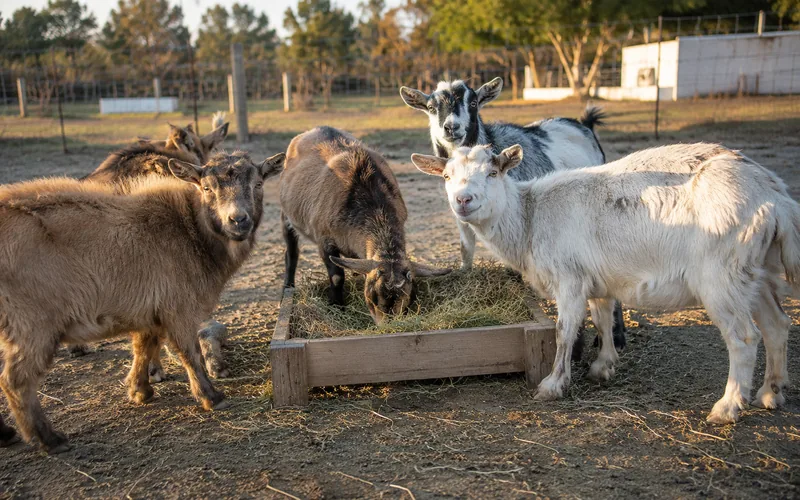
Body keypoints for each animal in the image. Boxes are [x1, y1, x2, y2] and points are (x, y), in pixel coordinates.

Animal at [0, 150, 285, 453]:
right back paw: (49, 439)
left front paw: (140, 391)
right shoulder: (178, 306)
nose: (238, 220)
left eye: (258, 184)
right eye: (207, 188)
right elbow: (189, 352)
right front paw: (212, 397)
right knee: (15, 380)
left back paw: (7, 433)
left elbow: (144, 346)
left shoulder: (149, 309)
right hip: (32, 322)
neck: (189, 228)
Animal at [280, 126, 449, 324]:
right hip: (286, 215)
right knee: (291, 250)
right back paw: (288, 286)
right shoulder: (324, 238)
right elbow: (337, 276)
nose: (386, 326)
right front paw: (337, 306)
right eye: (372, 298)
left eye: (410, 298)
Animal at [400, 78, 626, 355]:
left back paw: (617, 336)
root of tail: (583, 124)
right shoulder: (464, 220)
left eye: (473, 103)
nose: (451, 127)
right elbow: (466, 251)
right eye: (431, 107)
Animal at [412, 142, 799, 424]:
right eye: (446, 175)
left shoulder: (569, 278)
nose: (463, 200)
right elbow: (602, 318)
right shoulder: (596, 279)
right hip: (757, 270)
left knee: (744, 337)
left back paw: (728, 407)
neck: (530, 218)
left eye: (492, 172)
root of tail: (774, 196)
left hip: (722, 274)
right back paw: (771, 393)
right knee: (777, 324)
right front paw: (603, 366)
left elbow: (564, 330)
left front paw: (553, 384)